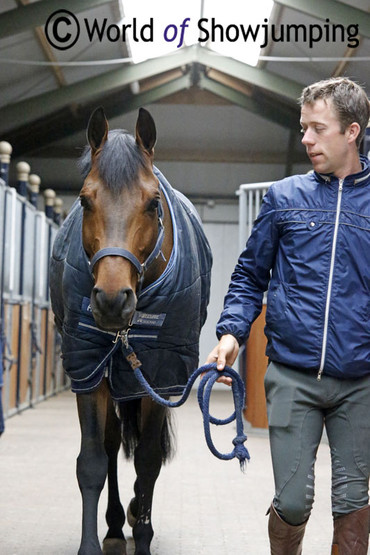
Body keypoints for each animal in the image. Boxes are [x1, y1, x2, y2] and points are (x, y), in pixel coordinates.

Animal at [49, 108, 212, 555]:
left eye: (153, 202)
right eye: (84, 200)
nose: (110, 300)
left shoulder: (161, 374)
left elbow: (149, 461)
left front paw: (143, 537)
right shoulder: (88, 370)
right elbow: (92, 461)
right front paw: (94, 542)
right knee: (110, 446)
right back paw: (114, 525)